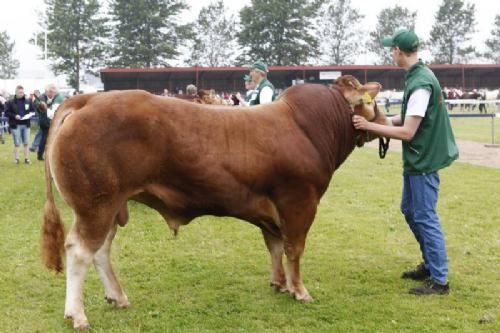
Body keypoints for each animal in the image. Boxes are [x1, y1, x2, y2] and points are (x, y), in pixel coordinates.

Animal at [42, 74, 386, 326]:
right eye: (374, 102)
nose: (385, 122)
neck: (310, 128)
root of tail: (91, 98)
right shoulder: (299, 201)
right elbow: (294, 249)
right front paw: (299, 290)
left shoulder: (271, 209)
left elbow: (275, 245)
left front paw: (279, 283)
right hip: (95, 205)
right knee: (80, 251)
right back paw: (77, 314)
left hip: (110, 206)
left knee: (101, 251)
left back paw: (118, 296)